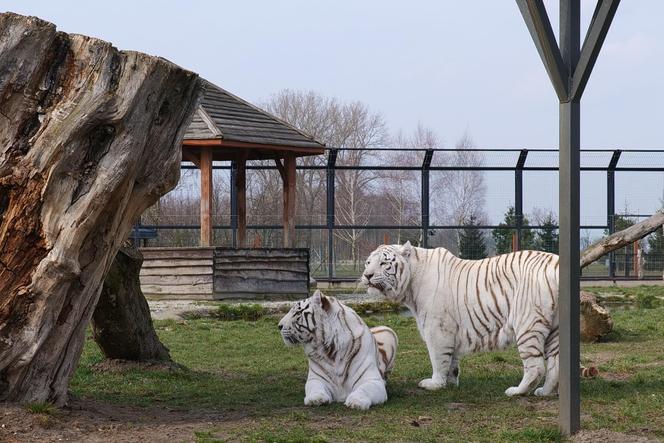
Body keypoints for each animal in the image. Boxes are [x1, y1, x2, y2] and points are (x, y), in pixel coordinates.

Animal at [364, 243, 560, 398]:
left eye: (383, 263)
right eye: (368, 262)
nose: (367, 275)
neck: (411, 284)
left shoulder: (437, 328)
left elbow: (438, 358)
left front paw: (435, 384)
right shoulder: (451, 330)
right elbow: (452, 360)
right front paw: (451, 383)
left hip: (527, 324)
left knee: (536, 367)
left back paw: (517, 391)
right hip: (555, 330)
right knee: (555, 365)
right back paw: (545, 392)